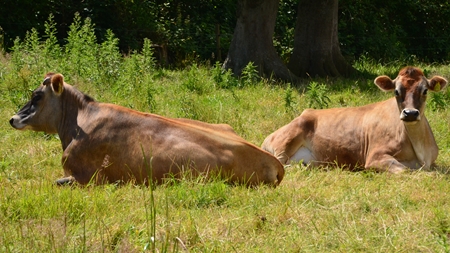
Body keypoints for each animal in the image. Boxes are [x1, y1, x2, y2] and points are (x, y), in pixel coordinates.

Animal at [262, 66, 448, 174]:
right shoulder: (374, 157)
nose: (410, 113)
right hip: (287, 140)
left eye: (425, 90)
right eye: (396, 91)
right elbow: (406, 171)